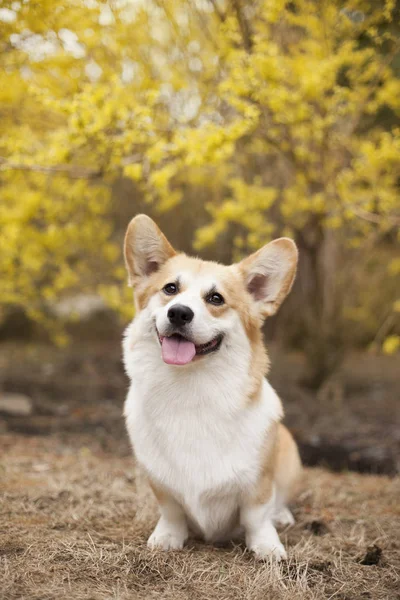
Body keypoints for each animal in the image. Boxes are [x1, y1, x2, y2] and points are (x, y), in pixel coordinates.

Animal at [123, 214, 302, 556]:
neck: (190, 388)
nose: (179, 313)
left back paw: (283, 516)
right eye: (170, 288)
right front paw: (167, 537)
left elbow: (257, 516)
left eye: (215, 299)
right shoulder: (160, 483)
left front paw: (267, 547)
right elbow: (172, 511)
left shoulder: (258, 482)